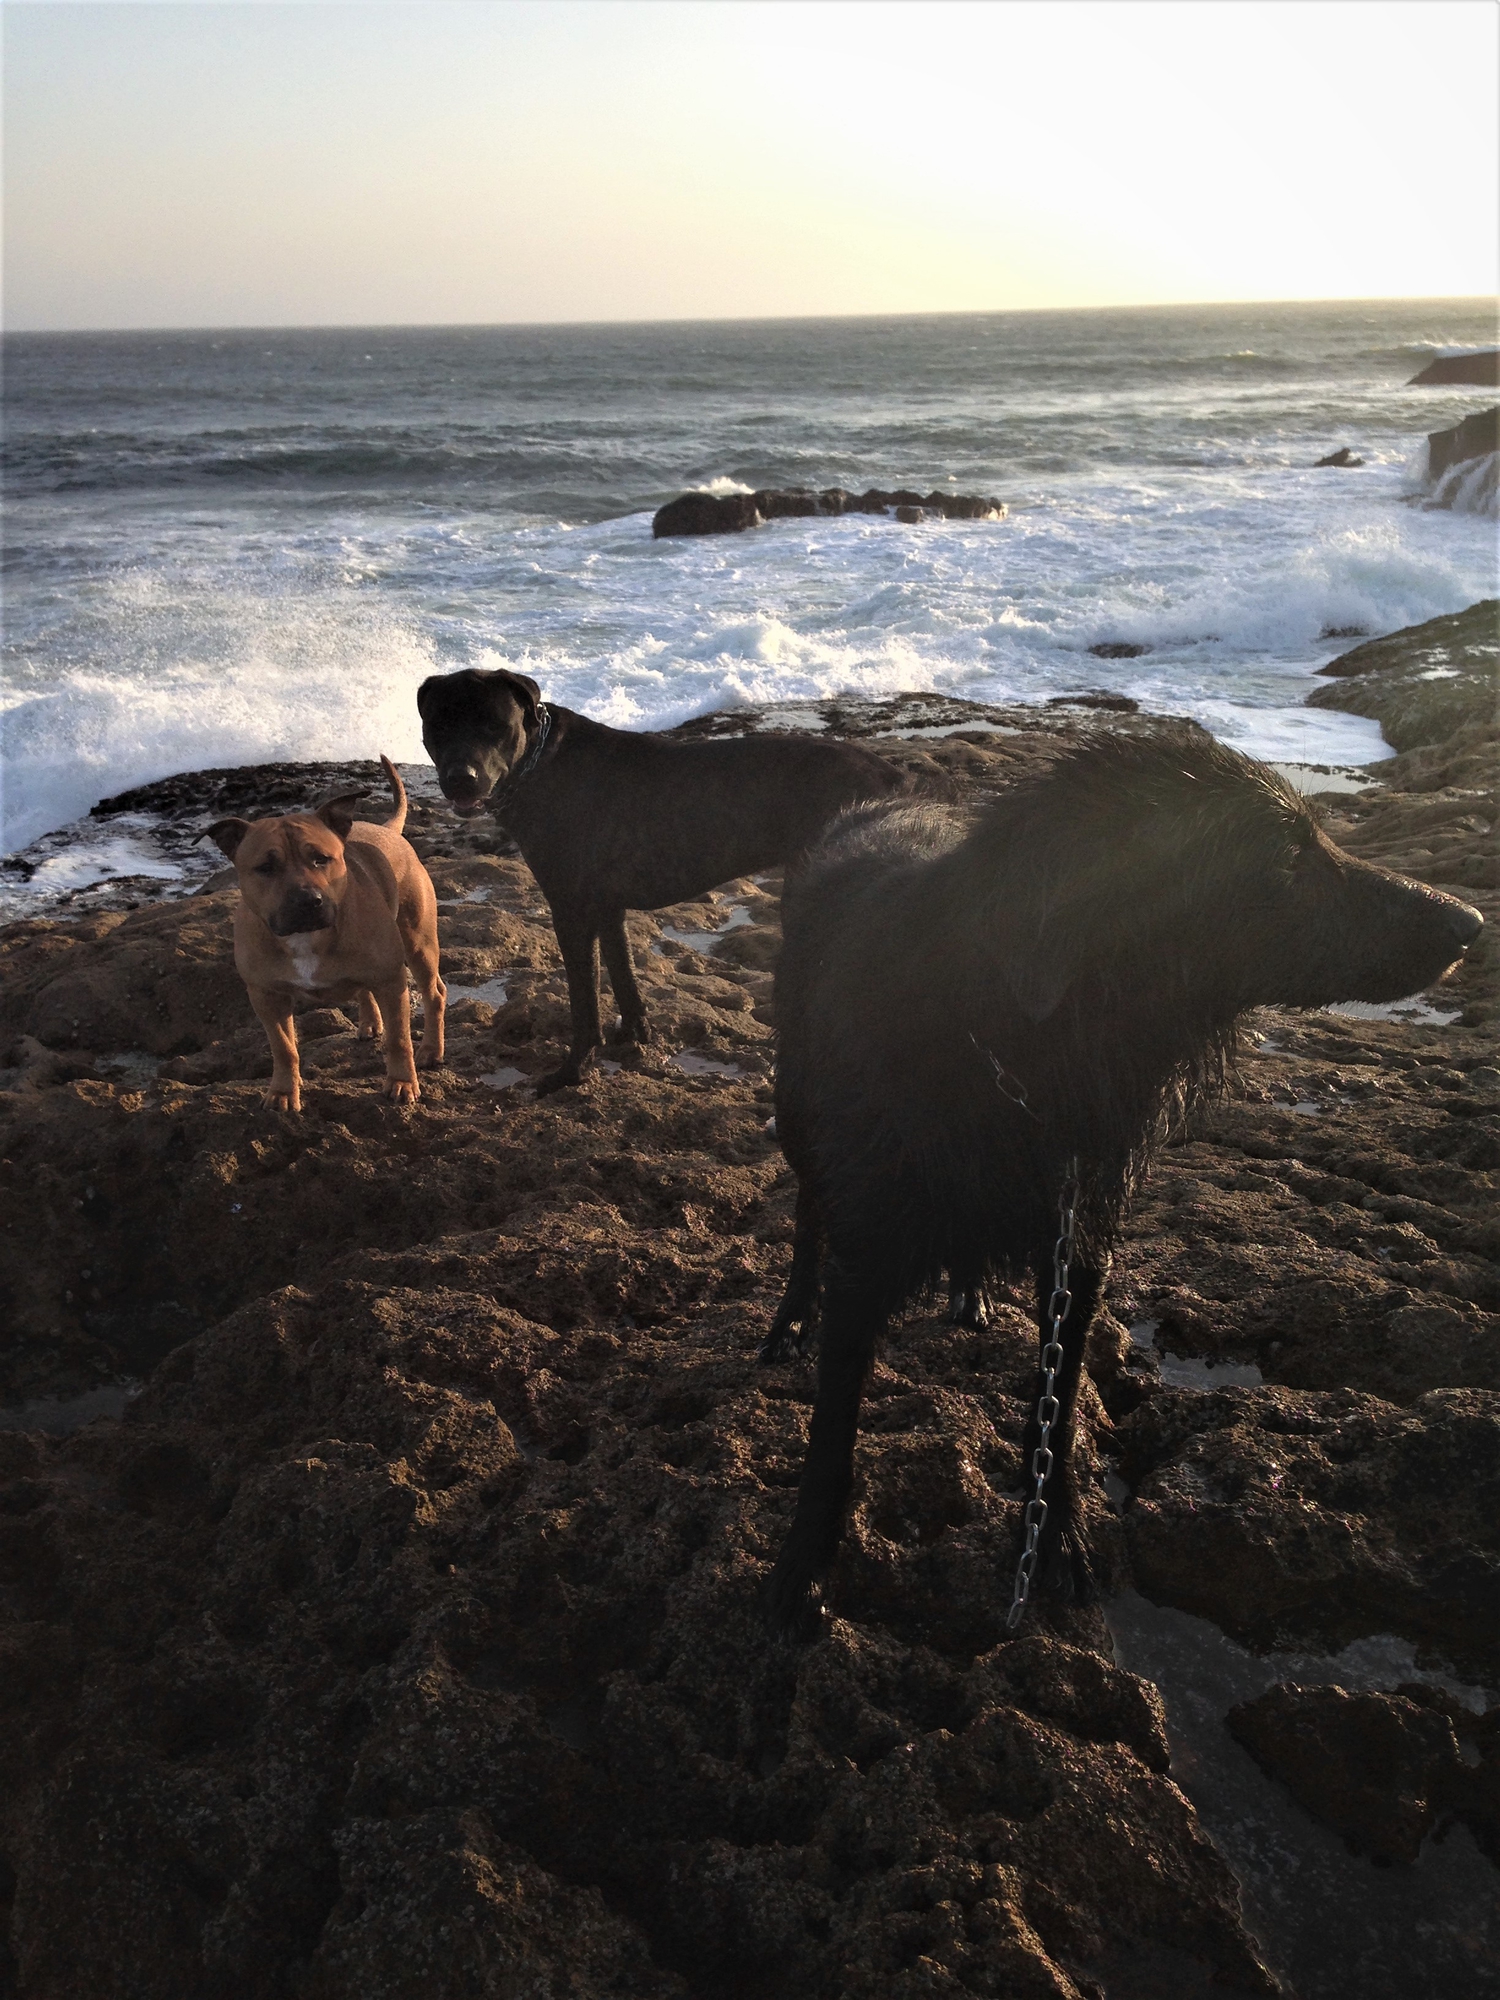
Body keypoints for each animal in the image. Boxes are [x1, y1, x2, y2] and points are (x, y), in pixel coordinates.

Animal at [210, 756, 446, 1120]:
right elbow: (283, 1048)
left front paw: (402, 1083)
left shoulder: (391, 982)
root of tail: (387, 829)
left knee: (434, 993)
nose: (307, 899)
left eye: (321, 858)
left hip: (418, 943)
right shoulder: (266, 996)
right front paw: (282, 1092)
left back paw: (432, 1050)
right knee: (364, 991)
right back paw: (369, 1023)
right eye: (265, 867)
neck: (307, 938)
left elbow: (399, 1039)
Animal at [768, 728, 1488, 1632]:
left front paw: (1059, 1537)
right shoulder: (871, 1250)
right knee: (805, 1210)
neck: (1022, 1051)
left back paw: (969, 1293)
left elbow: (1060, 1402)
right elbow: (833, 1433)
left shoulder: (1082, 1239)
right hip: (796, 1111)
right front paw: (804, 1568)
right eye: (1289, 856)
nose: (1471, 923)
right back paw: (792, 1316)